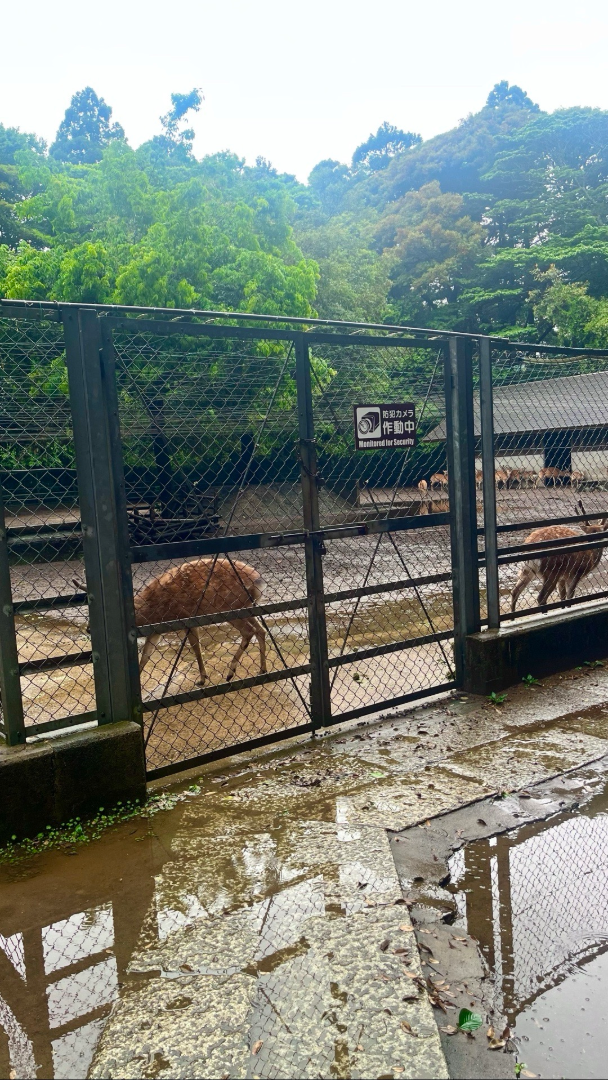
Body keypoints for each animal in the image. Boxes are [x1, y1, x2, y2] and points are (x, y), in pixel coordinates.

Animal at [134, 557, 266, 685]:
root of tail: (257, 582)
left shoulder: (187, 619)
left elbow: (196, 648)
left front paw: (202, 679)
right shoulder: (155, 631)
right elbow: (145, 655)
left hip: (230, 607)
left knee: (249, 631)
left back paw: (231, 672)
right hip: (245, 607)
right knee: (261, 630)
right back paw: (262, 670)